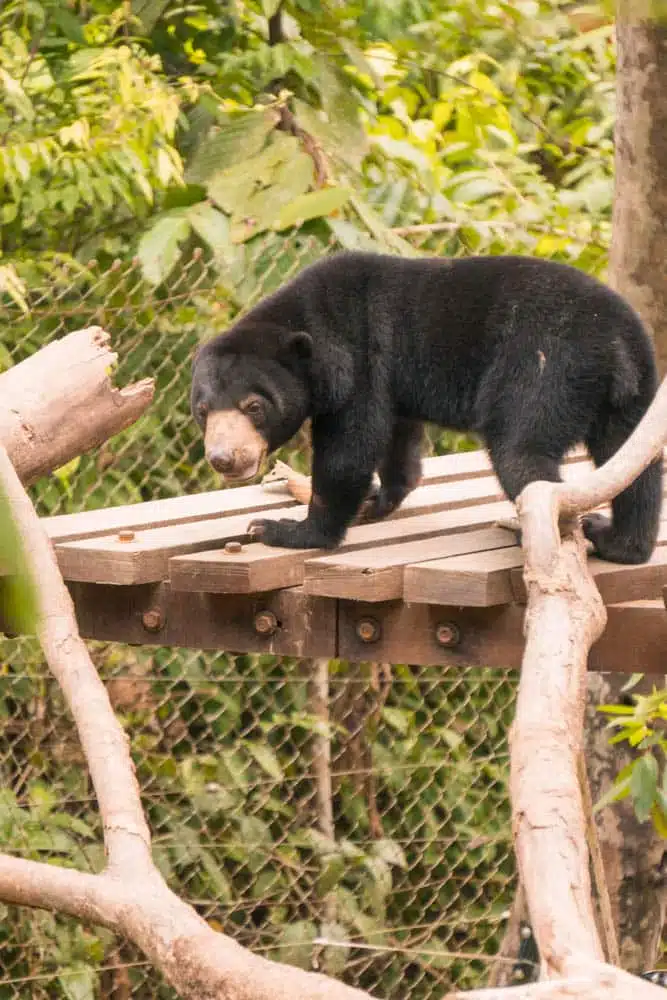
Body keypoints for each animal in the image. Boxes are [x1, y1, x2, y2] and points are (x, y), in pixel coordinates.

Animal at [191, 251, 662, 564]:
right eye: (203, 411)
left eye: (254, 406)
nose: (224, 458)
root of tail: (613, 342)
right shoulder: (390, 381)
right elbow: (397, 438)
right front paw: (378, 499)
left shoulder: (356, 360)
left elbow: (350, 447)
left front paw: (283, 529)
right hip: (631, 393)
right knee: (634, 463)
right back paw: (619, 542)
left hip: (545, 367)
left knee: (522, 455)